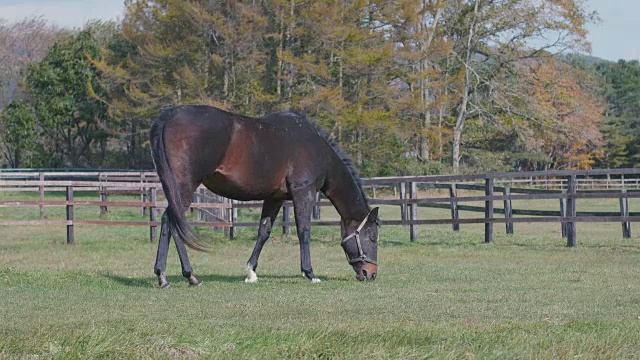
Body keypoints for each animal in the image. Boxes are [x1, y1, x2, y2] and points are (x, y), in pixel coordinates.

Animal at [150, 104, 380, 286]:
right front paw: (310, 273)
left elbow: (264, 231)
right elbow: (304, 231)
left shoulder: (274, 197)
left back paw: (165, 275)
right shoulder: (304, 192)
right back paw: (189, 276)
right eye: (372, 236)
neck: (318, 148)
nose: (370, 273)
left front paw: (251, 272)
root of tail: (172, 113)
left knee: (169, 221)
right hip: (184, 186)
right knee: (173, 221)